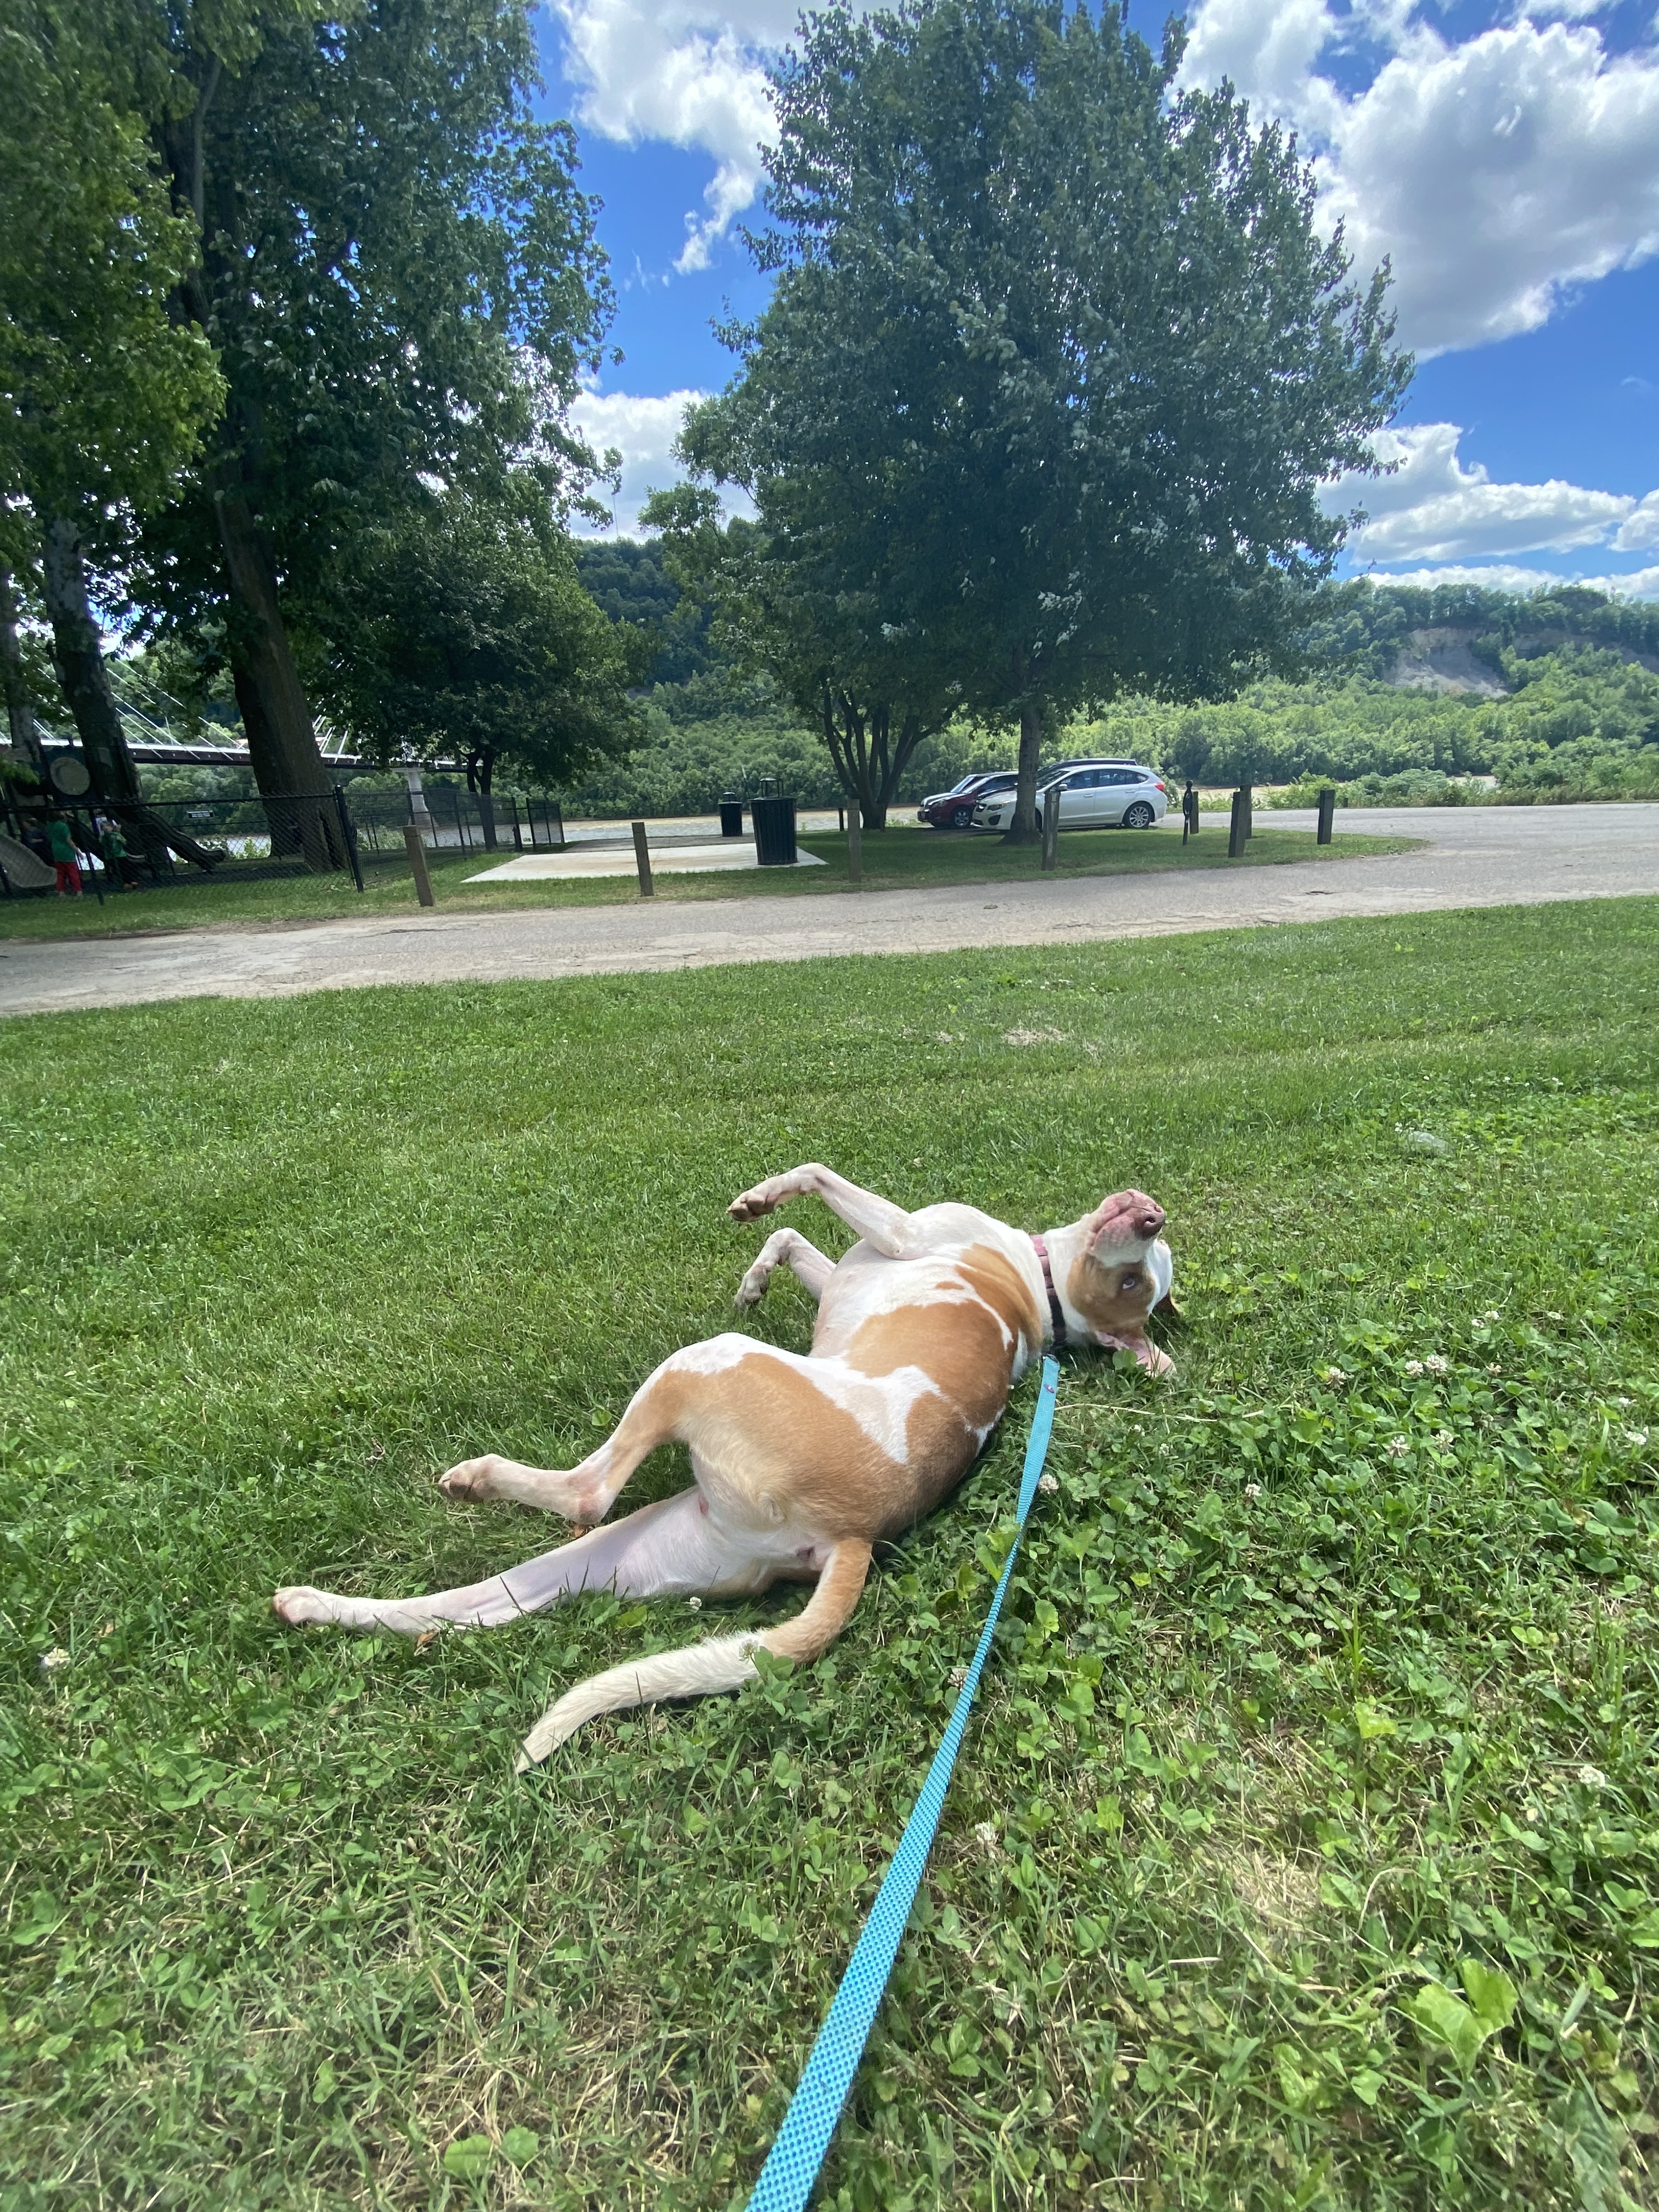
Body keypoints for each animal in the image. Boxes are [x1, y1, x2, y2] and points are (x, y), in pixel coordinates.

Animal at [273, 1167, 1177, 1769]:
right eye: (1144, 1275)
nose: (1153, 1213)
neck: (1043, 1290)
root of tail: (855, 1536)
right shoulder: (855, 1266)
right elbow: (793, 1242)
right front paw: (754, 1267)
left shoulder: (902, 1233)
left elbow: (817, 1173)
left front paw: (765, 1194)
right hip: (619, 1559)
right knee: (460, 1609)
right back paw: (317, 1604)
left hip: (704, 1368)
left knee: (588, 1493)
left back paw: (482, 1477)